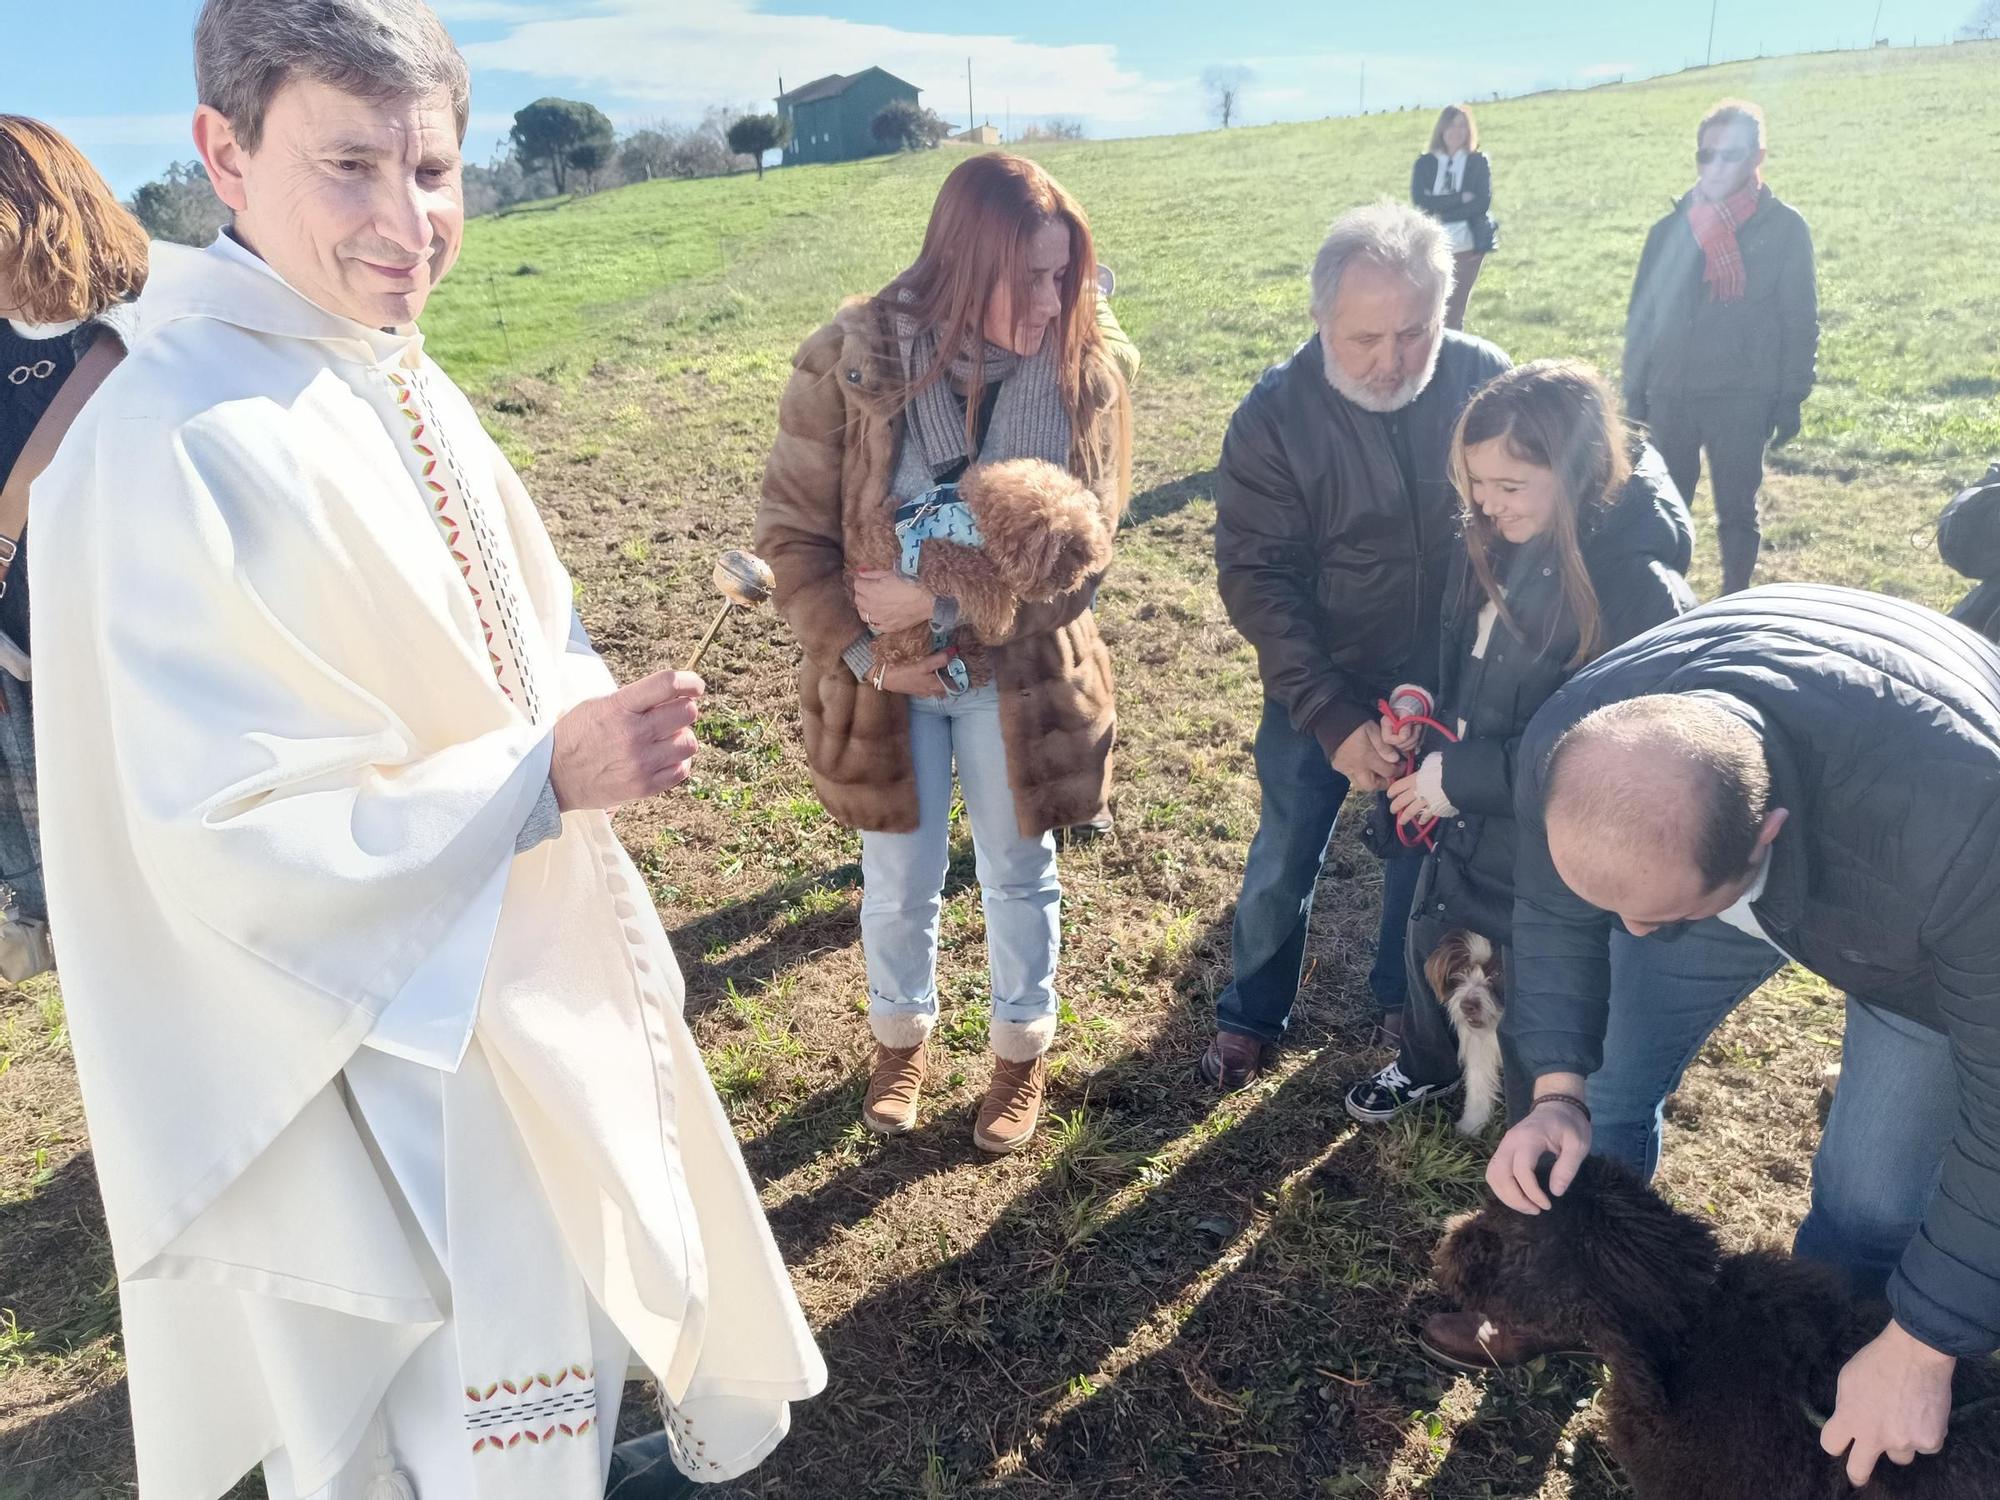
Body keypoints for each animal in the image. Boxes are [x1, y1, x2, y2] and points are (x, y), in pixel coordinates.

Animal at [868, 458, 1120, 668]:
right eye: (1062, 549)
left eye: (1078, 551)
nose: (1070, 583)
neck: (968, 515)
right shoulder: (923, 551)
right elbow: (969, 569)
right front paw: (1001, 600)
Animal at [1424, 936, 1504, 1136]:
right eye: (1462, 970)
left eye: (1498, 973)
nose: (1467, 1005)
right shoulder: (1480, 1048)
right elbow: (1478, 1086)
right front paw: (1471, 1124)